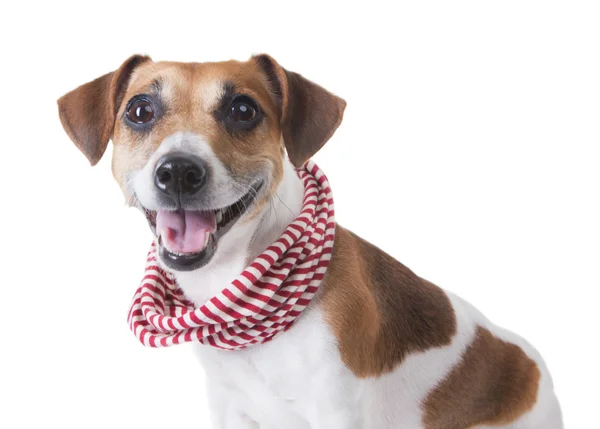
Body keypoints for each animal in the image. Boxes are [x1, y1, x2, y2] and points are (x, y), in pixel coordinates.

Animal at [57, 54, 564, 428]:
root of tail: (536, 370)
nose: (179, 171)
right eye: (140, 110)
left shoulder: (336, 413)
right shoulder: (232, 409)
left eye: (243, 110)